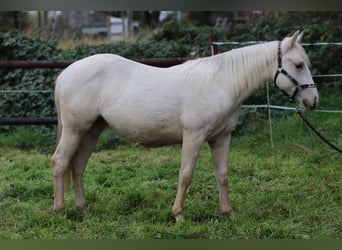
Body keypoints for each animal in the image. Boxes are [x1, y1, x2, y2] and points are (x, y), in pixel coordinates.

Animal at [52, 30, 318, 221]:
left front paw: (228, 214)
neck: (220, 83)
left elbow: (222, 175)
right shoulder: (194, 136)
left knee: (78, 165)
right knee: (60, 162)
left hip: (92, 130)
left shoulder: (221, 137)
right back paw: (59, 209)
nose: (312, 101)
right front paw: (178, 215)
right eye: (298, 65)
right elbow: (185, 175)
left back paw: (83, 210)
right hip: (75, 129)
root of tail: (67, 72)